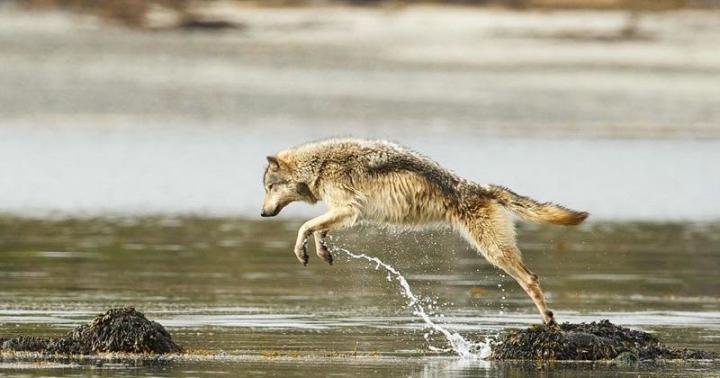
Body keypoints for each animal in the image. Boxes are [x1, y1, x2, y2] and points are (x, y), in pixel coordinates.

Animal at [262, 139, 588, 324]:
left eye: (268, 187)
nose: (262, 213)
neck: (319, 164)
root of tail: (482, 188)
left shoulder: (349, 210)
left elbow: (304, 226)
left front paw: (302, 250)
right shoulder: (343, 213)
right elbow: (317, 229)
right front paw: (321, 250)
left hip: (495, 253)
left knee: (531, 279)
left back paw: (549, 320)